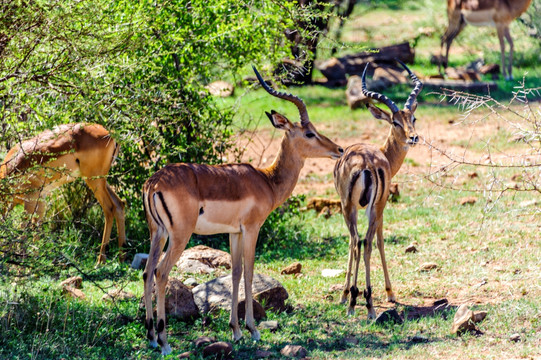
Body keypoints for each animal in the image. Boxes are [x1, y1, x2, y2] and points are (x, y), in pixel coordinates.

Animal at [0, 123, 125, 264]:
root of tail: (109, 134)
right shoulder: (41, 198)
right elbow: (36, 227)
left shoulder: (31, 198)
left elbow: (24, 227)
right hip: (101, 181)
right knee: (120, 204)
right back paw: (122, 257)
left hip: (94, 180)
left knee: (109, 208)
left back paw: (100, 260)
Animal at [141, 65, 344, 354]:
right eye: (309, 133)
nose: (338, 149)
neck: (267, 180)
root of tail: (154, 182)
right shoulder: (251, 228)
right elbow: (249, 273)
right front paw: (253, 329)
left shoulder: (233, 232)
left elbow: (235, 273)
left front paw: (236, 331)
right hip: (179, 236)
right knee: (161, 272)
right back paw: (165, 342)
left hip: (157, 233)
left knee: (147, 272)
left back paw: (150, 336)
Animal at [334, 61, 422, 318]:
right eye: (395, 121)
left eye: (413, 117)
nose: (413, 137)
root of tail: (366, 163)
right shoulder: (378, 208)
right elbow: (378, 242)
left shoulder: (368, 208)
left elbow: (370, 242)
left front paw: (349, 295)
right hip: (363, 208)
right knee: (363, 242)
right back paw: (363, 301)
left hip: (354, 208)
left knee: (359, 242)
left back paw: (361, 301)